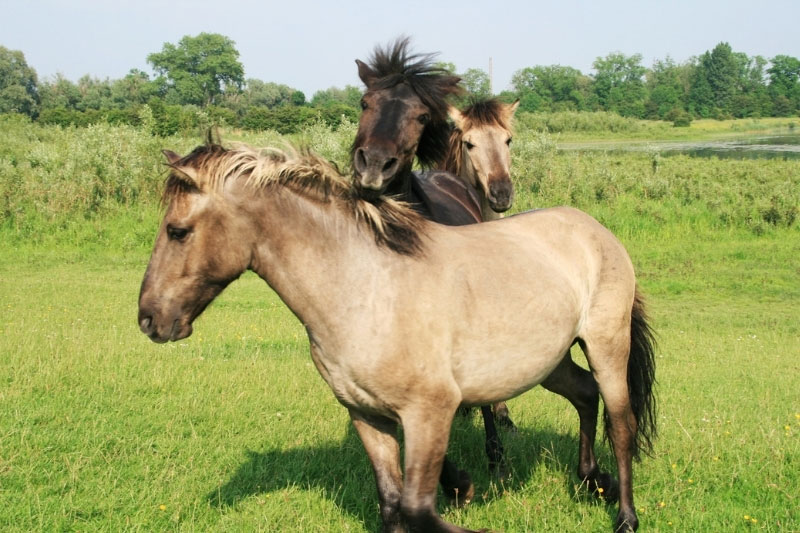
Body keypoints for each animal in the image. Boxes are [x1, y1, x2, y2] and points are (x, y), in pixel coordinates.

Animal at [138, 142, 657, 533]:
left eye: (178, 231)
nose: (149, 319)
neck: (366, 288)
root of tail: (596, 231)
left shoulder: (431, 411)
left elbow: (418, 509)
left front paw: (468, 499)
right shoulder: (368, 415)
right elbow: (392, 505)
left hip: (606, 346)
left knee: (621, 422)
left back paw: (625, 517)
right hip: (548, 362)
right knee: (585, 394)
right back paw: (592, 482)